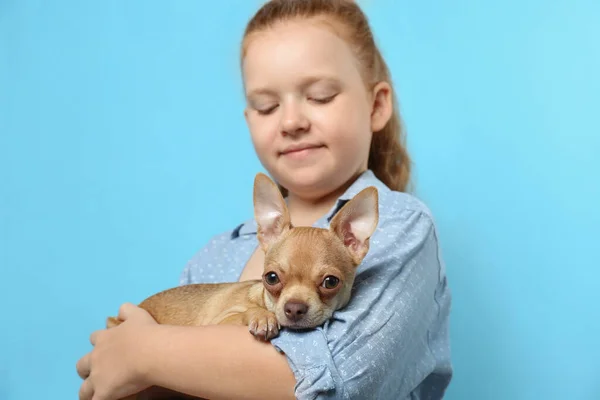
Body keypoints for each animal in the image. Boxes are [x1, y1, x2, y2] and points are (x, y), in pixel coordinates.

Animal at [107, 173, 378, 400]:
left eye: (330, 282)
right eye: (271, 278)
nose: (294, 308)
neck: (261, 299)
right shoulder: (221, 321)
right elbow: (247, 312)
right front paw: (263, 318)